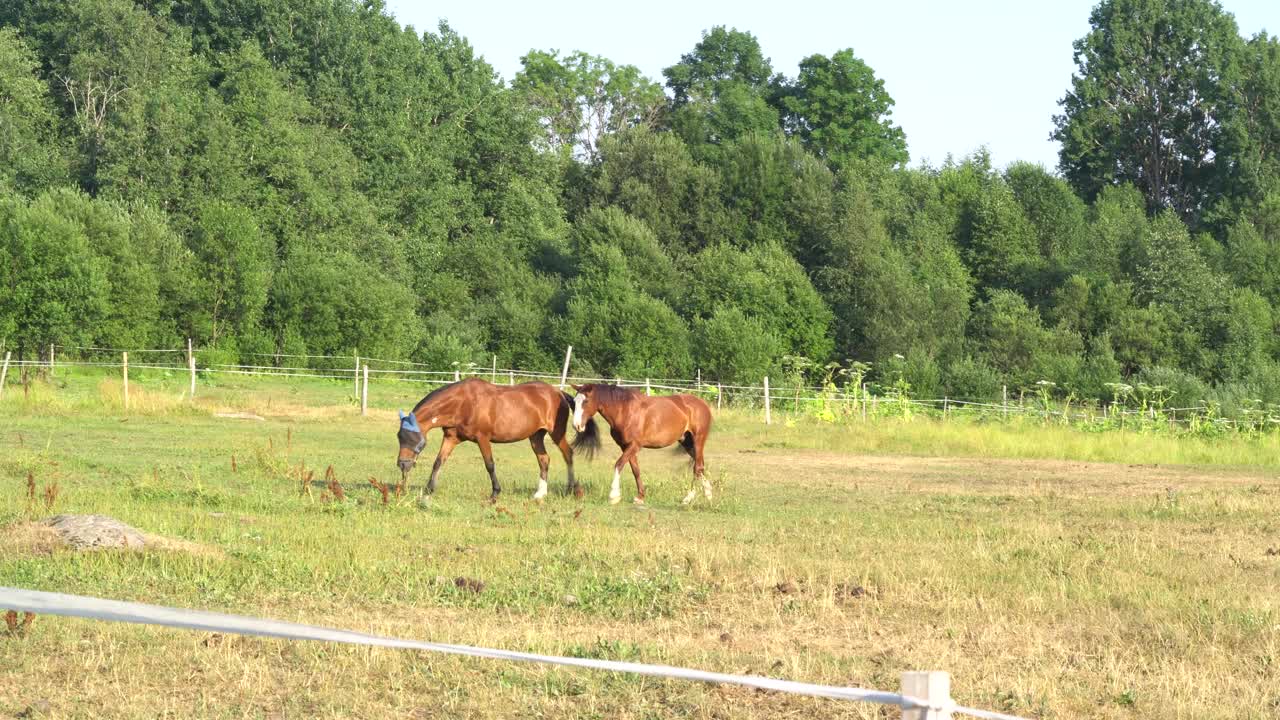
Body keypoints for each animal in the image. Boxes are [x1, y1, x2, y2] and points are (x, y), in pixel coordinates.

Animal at [394, 376, 593, 499]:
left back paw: (571, 489)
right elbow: (438, 462)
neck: (462, 403)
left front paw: (495, 493)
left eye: (411, 438)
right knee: (544, 460)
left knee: (568, 454)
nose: (403, 465)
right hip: (536, 437)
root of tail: (558, 393)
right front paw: (429, 490)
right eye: (399, 437)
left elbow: (489, 465)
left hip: (556, 433)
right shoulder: (451, 438)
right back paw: (540, 494)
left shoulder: (483, 438)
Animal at [568, 381, 711, 504]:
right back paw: (708, 493)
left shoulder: (635, 445)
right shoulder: (625, 446)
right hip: (687, 442)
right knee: (701, 466)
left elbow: (619, 464)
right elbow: (635, 470)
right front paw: (640, 497)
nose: (576, 426)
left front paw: (614, 496)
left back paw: (688, 498)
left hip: (698, 440)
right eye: (574, 401)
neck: (624, 410)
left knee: (697, 467)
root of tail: (703, 404)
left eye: (586, 401)